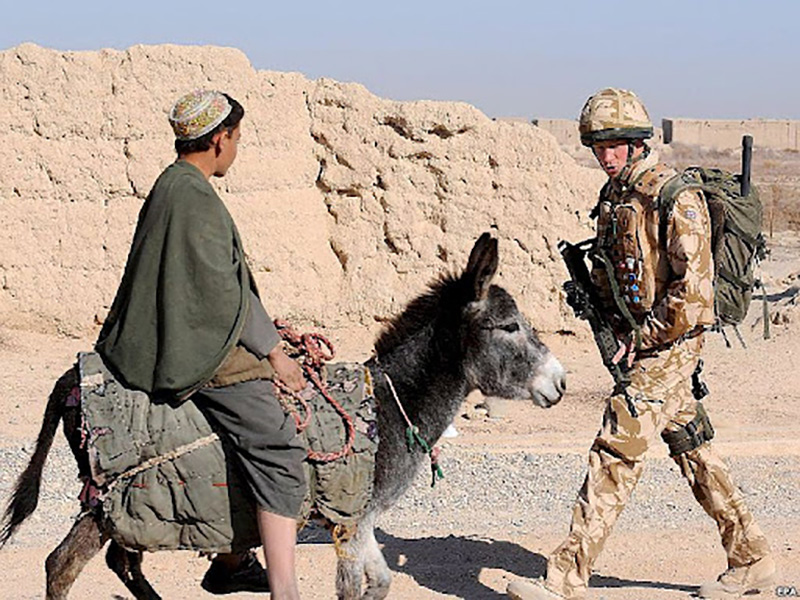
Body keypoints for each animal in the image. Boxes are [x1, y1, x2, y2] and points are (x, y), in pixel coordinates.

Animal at [0, 232, 566, 599]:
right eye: (510, 326)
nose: (560, 383)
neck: (389, 404)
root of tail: (71, 377)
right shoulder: (349, 522)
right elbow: (353, 589)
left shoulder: (363, 521)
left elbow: (381, 583)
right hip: (114, 497)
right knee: (62, 565)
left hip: (124, 505)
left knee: (120, 560)